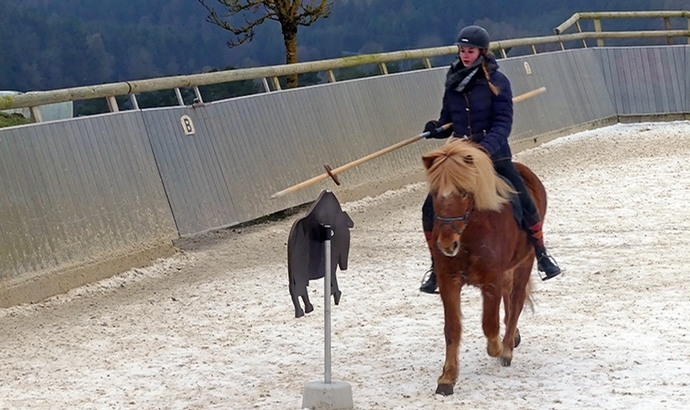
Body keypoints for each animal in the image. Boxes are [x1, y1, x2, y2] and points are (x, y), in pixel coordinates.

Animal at [420, 139, 544, 396]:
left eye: (464, 192)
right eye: (435, 193)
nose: (446, 244)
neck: (469, 234)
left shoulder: (491, 281)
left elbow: (489, 325)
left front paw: (498, 349)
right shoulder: (448, 281)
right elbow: (452, 329)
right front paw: (447, 378)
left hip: (525, 262)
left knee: (516, 301)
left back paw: (507, 348)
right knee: (510, 298)